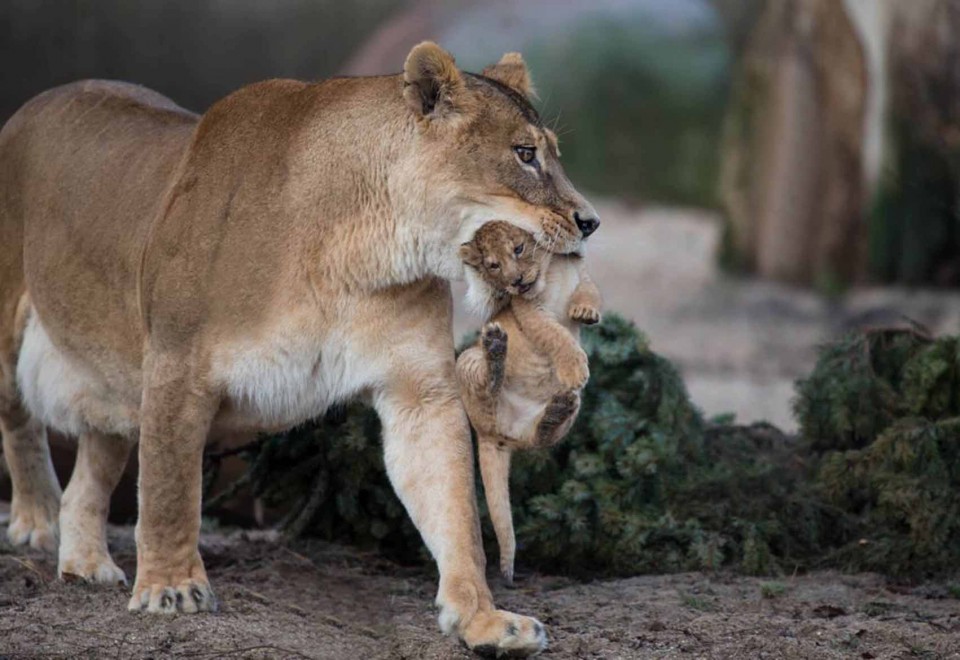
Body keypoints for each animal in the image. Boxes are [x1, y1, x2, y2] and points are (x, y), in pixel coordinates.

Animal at [456, 221, 602, 584]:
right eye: (493, 265)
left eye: (519, 249)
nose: (517, 281)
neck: (550, 270)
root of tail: (494, 437)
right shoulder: (528, 311)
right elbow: (556, 335)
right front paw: (574, 367)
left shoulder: (583, 276)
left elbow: (590, 293)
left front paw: (585, 312)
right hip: (467, 361)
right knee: (488, 386)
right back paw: (496, 350)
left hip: (565, 414)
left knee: (542, 436)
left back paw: (555, 412)